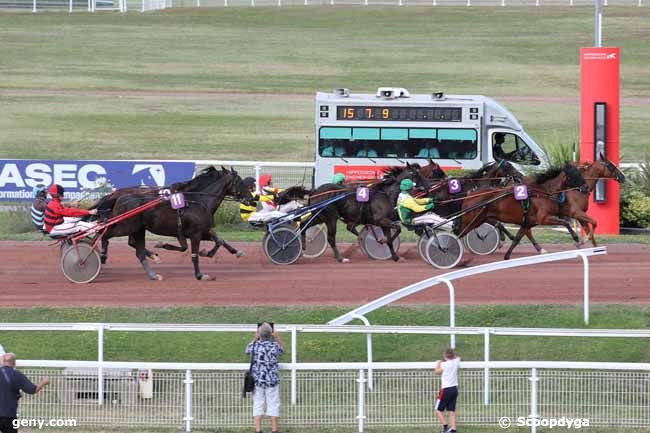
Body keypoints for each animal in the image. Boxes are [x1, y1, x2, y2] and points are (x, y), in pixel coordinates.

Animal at [102, 165, 252, 280]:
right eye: (240, 182)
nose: (251, 199)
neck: (199, 201)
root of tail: (118, 196)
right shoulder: (195, 234)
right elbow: (194, 255)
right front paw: (199, 275)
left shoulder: (196, 232)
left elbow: (218, 240)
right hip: (125, 226)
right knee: (105, 234)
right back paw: (103, 257)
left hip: (137, 229)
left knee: (135, 248)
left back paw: (152, 271)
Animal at [454, 165, 584, 260]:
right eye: (575, 176)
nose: (586, 188)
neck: (541, 193)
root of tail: (469, 195)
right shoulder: (543, 218)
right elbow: (565, 223)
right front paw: (576, 238)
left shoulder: (527, 222)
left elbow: (518, 238)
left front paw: (507, 256)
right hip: (472, 220)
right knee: (458, 233)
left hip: (480, 218)